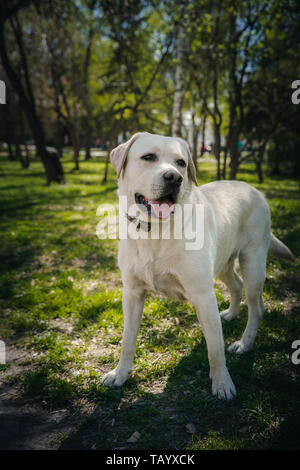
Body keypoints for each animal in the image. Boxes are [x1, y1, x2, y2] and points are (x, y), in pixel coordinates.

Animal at [102, 132, 294, 400]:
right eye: (148, 157)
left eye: (181, 163)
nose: (174, 178)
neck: (156, 232)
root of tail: (254, 190)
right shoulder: (132, 293)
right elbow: (127, 339)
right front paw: (120, 374)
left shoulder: (203, 295)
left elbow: (215, 346)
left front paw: (222, 383)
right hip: (223, 263)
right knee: (236, 285)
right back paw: (231, 313)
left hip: (253, 264)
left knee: (257, 308)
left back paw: (244, 343)